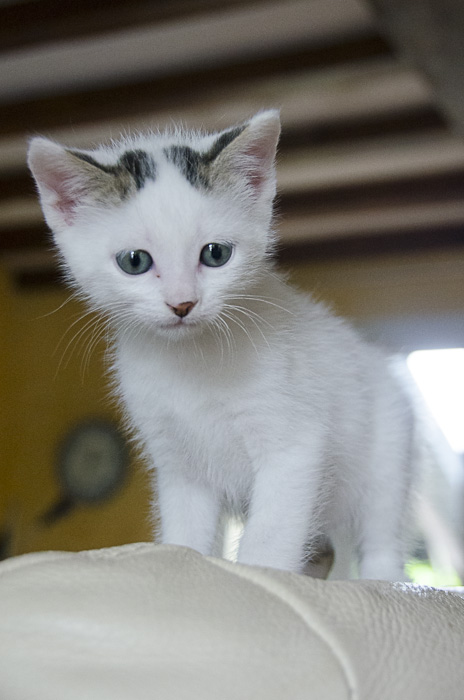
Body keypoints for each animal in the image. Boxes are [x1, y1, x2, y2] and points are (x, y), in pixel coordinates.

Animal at [28, 110, 414, 580]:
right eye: (134, 261)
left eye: (215, 254)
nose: (182, 303)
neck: (194, 361)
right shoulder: (178, 464)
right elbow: (186, 535)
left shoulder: (294, 447)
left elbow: (272, 537)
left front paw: (262, 579)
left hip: (387, 451)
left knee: (381, 538)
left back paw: (382, 579)